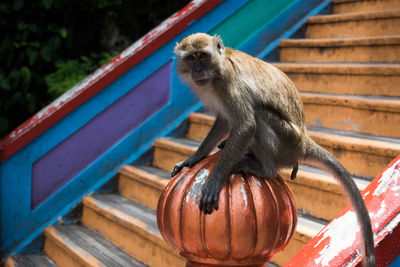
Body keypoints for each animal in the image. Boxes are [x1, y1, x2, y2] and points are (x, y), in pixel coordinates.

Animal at [171, 32, 376, 266]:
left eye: (203, 56)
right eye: (191, 58)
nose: (198, 70)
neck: (216, 72)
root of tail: (303, 141)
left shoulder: (227, 83)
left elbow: (246, 125)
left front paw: (215, 180)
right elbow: (224, 120)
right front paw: (194, 158)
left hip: (286, 141)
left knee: (259, 114)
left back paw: (265, 168)